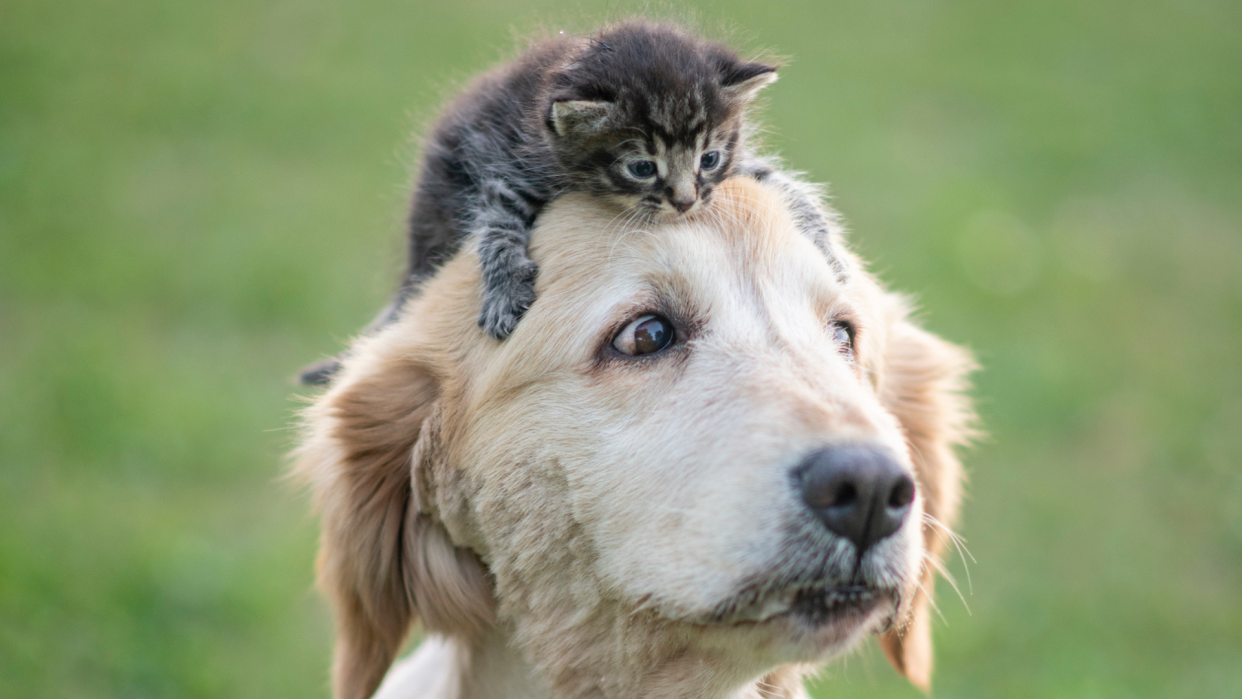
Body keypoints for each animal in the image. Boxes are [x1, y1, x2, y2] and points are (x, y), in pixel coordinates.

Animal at [299, 20, 844, 387]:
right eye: (642, 167)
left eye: (709, 158)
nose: (685, 201)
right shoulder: (508, 165)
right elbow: (496, 228)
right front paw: (503, 292)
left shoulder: (735, 171)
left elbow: (788, 186)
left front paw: (828, 250)